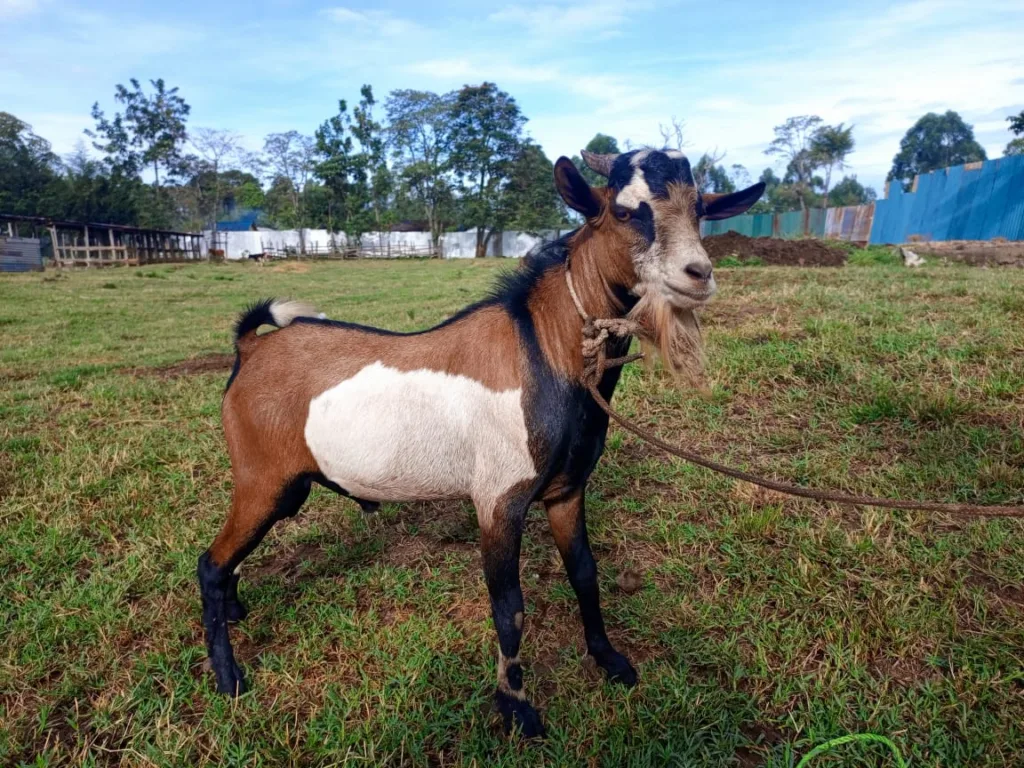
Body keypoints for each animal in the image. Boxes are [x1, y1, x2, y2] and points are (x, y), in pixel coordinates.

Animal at [197, 147, 761, 737]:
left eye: (700, 210)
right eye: (626, 212)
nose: (699, 274)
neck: (544, 348)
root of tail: (250, 351)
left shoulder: (566, 490)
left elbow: (585, 573)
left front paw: (609, 660)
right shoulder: (498, 498)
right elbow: (508, 606)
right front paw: (516, 706)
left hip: (284, 488)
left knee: (229, 559)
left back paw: (236, 613)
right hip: (262, 479)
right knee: (210, 564)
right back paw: (229, 678)